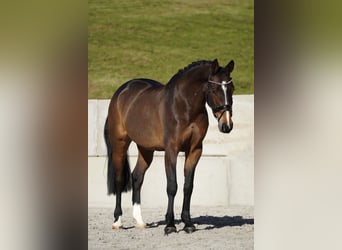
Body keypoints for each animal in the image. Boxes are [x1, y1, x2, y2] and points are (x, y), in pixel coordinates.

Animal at [103, 59, 234, 234]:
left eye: (232, 89)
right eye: (214, 89)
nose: (227, 125)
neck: (184, 106)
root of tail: (121, 92)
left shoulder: (195, 150)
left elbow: (188, 186)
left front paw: (188, 223)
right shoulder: (171, 150)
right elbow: (172, 186)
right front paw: (170, 225)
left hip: (146, 149)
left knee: (137, 177)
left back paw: (139, 221)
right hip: (120, 144)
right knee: (119, 179)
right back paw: (118, 221)